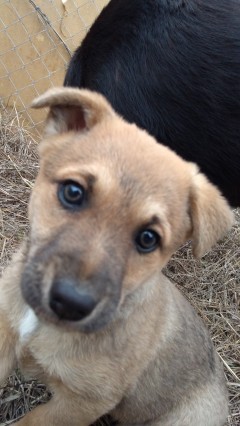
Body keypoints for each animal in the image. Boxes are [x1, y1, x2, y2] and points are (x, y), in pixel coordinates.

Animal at [0, 87, 233, 426]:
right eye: (73, 192)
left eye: (148, 239)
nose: (70, 303)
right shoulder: (5, 333)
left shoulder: (81, 402)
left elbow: (33, 420)